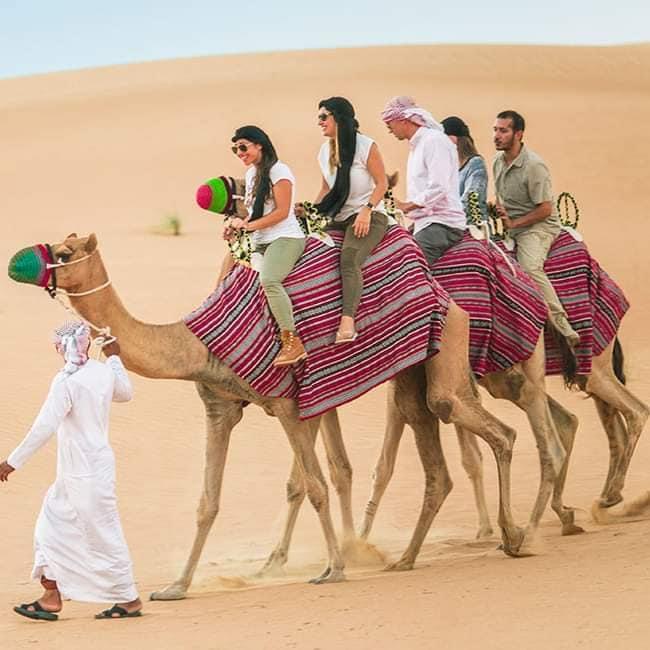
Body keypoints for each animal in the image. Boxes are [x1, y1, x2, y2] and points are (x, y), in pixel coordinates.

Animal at [10, 232, 532, 600]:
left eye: (64, 250)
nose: (18, 262)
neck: (194, 342)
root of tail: (440, 287)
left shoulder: (287, 405)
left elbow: (315, 485)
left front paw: (334, 569)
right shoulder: (219, 408)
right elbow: (208, 501)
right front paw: (176, 587)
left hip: (449, 346)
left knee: (490, 427)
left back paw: (513, 535)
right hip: (411, 372)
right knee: (437, 454)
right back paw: (407, 558)